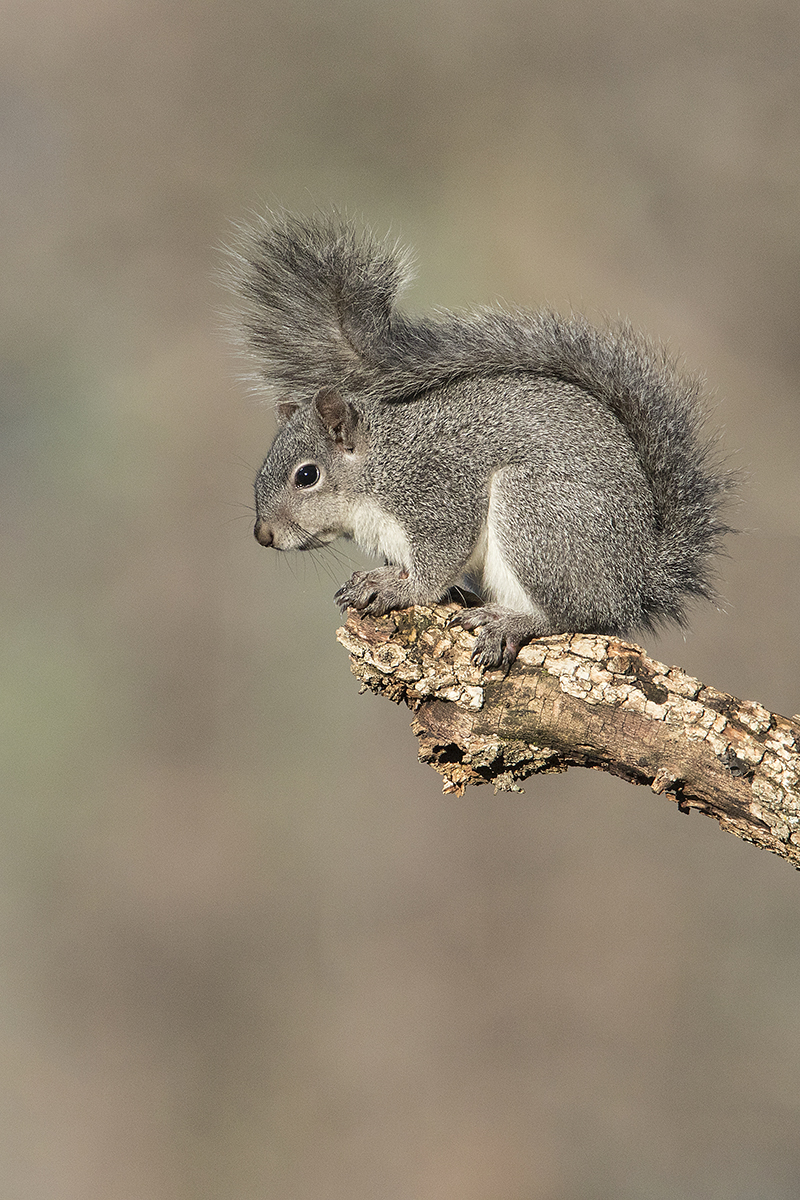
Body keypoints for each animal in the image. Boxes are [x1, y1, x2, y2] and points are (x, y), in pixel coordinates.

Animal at [229, 211, 734, 671]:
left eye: (306, 475)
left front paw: (398, 588)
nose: (261, 535)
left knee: (575, 614)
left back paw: (513, 621)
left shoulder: (438, 493)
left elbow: (437, 565)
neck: (381, 464)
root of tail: (637, 580)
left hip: (537, 515)